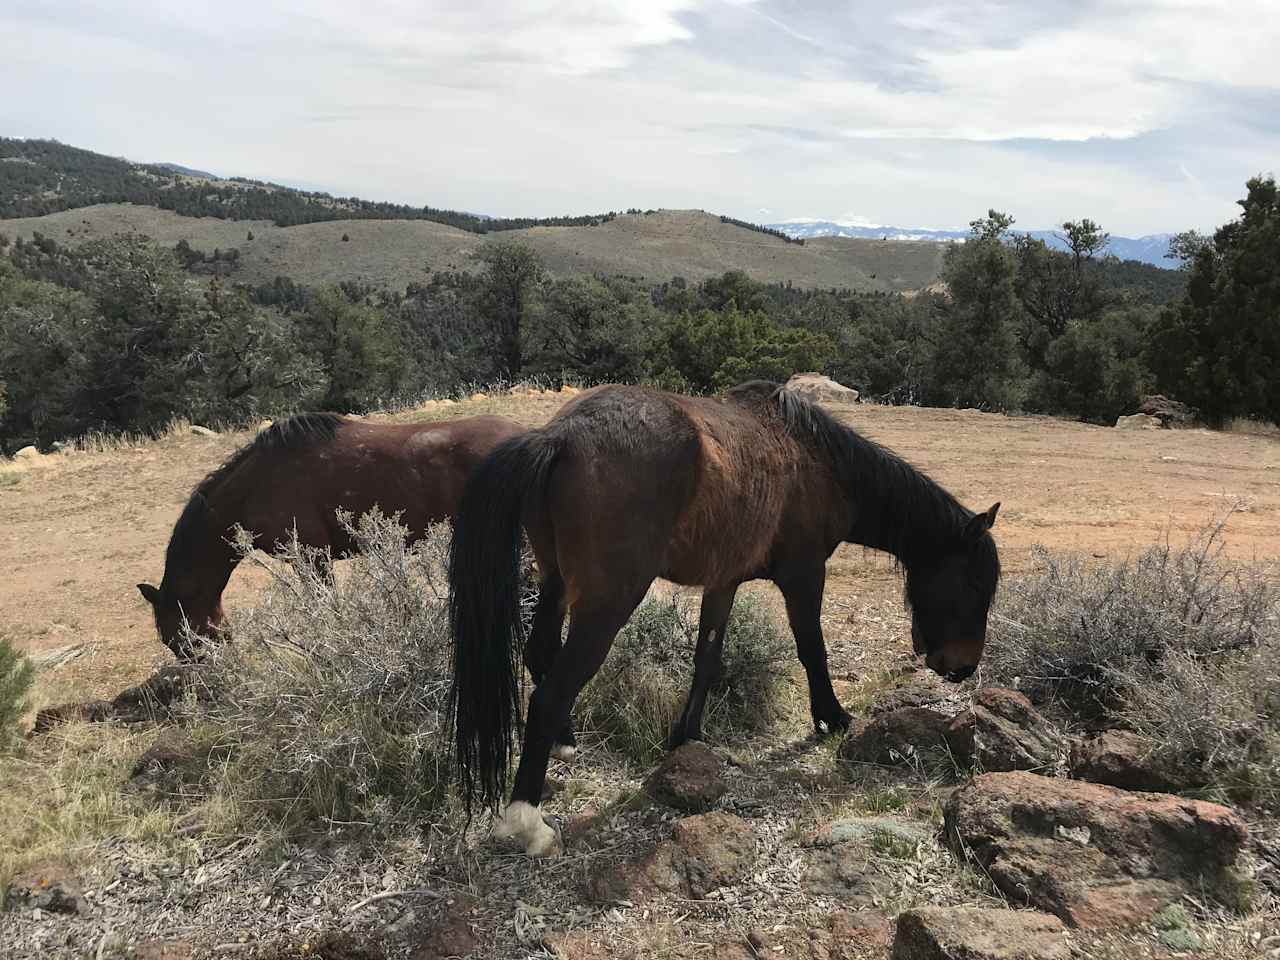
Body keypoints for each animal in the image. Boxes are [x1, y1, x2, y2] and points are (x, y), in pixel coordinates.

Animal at [450, 381, 998, 855]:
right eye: (976, 585)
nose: (963, 668)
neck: (817, 461)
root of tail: (560, 437)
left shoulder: (724, 581)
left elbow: (707, 656)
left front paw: (686, 736)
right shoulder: (804, 575)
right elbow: (811, 648)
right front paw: (832, 717)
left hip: (557, 584)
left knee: (540, 652)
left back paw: (564, 744)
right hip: (607, 603)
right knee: (551, 692)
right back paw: (528, 821)